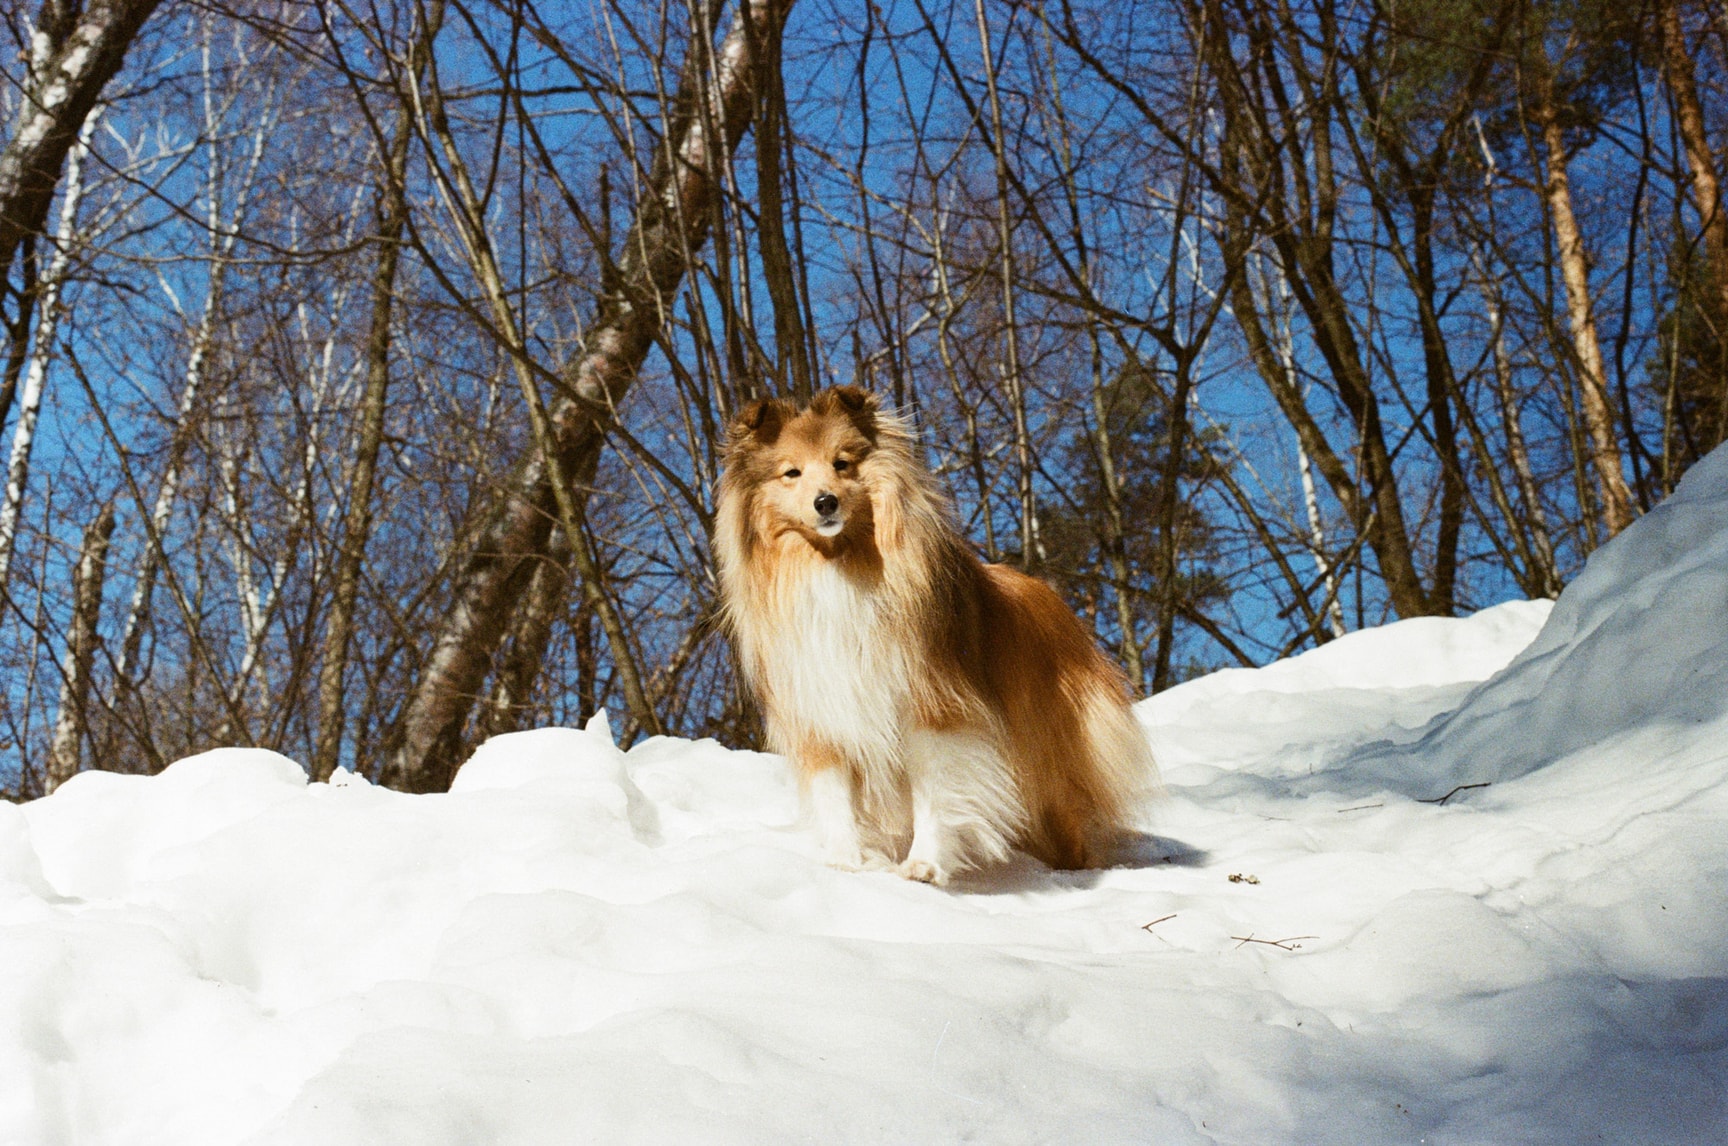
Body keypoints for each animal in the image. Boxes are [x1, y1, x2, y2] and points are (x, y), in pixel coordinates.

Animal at [715, 387, 1161, 884]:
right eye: (791, 473)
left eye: (842, 463)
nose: (825, 502)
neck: (836, 566)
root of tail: (1053, 598)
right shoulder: (825, 712)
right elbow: (835, 796)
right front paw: (847, 865)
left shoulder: (932, 707)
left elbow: (932, 791)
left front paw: (923, 864)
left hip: (1045, 752)